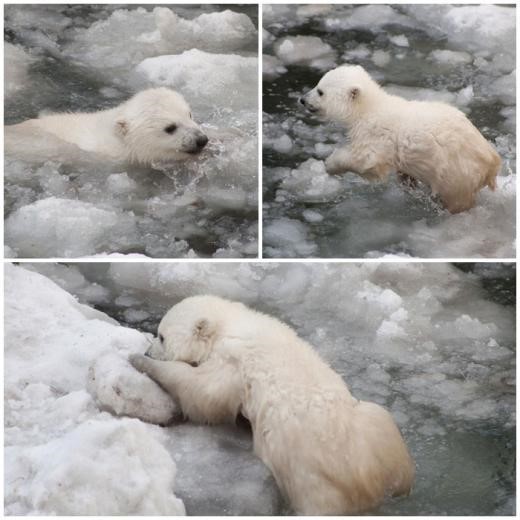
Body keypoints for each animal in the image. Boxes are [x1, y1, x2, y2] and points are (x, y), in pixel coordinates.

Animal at [130, 294, 414, 512]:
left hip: (308, 476)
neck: (230, 324)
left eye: (162, 336)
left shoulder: (231, 360)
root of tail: (369, 480)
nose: (147, 351)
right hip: (377, 428)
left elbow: (203, 392)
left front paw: (141, 361)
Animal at [298, 65, 502, 213]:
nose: (302, 99)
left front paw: (330, 165)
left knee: (457, 199)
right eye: (317, 84)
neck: (369, 108)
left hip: (457, 174)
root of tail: (492, 163)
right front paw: (408, 183)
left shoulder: (376, 135)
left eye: (320, 91)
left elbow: (366, 160)